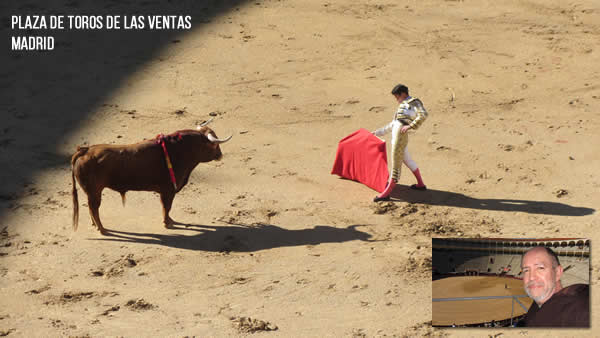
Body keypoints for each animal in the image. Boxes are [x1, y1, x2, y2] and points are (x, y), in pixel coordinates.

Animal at [70, 125, 230, 235]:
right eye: (215, 144)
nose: (220, 155)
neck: (181, 150)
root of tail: (84, 150)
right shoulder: (168, 190)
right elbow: (167, 206)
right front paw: (167, 223)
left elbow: (166, 207)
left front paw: (170, 221)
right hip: (95, 192)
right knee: (94, 208)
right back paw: (103, 229)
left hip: (91, 193)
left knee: (91, 208)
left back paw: (96, 226)